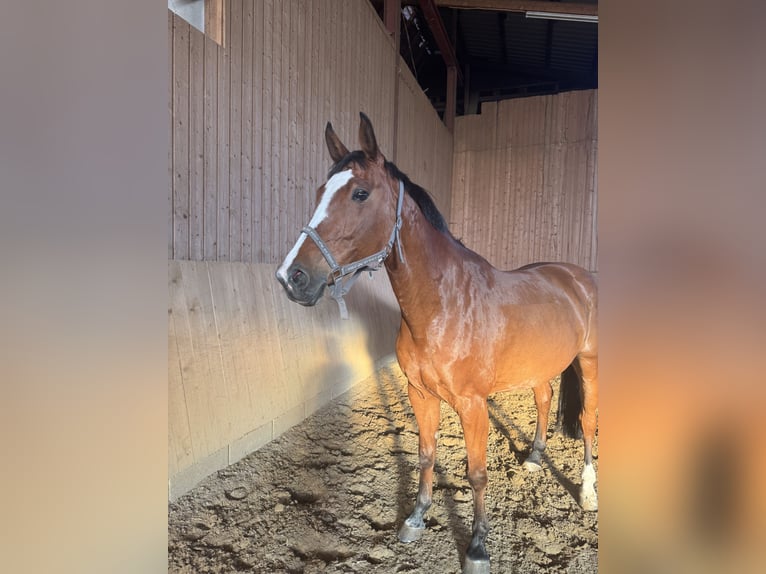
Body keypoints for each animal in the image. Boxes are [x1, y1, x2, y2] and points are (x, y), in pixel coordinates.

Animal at [275, 112, 598, 574]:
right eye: (320, 192)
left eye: (360, 193)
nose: (291, 277)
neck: (444, 305)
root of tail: (576, 276)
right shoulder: (420, 393)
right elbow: (426, 454)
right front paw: (415, 518)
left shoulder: (472, 404)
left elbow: (477, 472)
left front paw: (478, 547)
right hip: (540, 366)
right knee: (544, 398)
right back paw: (535, 459)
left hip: (590, 362)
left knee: (588, 421)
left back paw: (588, 492)